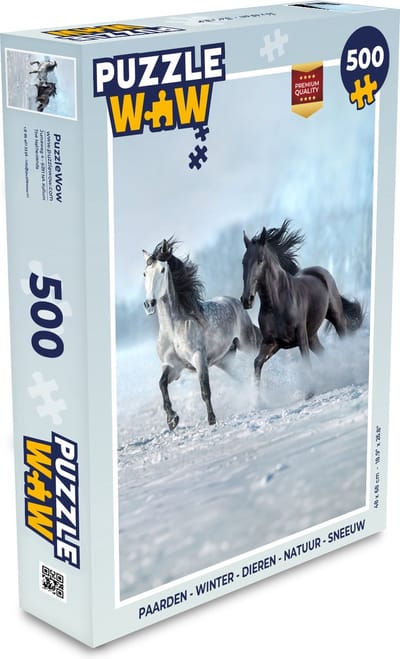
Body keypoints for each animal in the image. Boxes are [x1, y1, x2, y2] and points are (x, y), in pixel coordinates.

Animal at [143, 238, 261, 429]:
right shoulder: (173, 366)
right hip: (224, 361)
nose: (149, 304)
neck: (173, 330)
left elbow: (205, 390)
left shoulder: (199, 358)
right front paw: (172, 419)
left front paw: (211, 419)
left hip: (247, 343)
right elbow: (161, 384)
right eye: (145, 273)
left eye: (162, 270)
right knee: (241, 377)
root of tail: (234, 301)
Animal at [241, 220, 363, 387]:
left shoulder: (300, 336)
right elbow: (257, 362)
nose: (247, 299)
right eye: (243, 262)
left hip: (335, 318)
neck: (276, 305)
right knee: (324, 353)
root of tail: (319, 271)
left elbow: (306, 362)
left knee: (344, 341)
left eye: (260, 259)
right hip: (312, 335)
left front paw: (310, 390)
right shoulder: (272, 343)